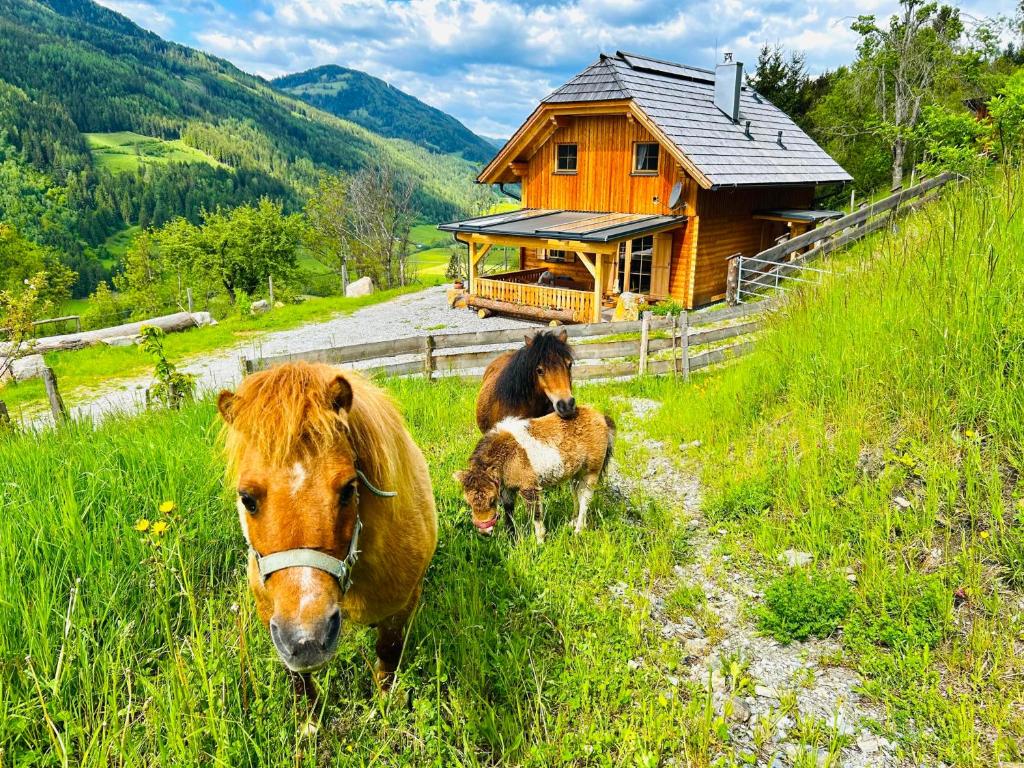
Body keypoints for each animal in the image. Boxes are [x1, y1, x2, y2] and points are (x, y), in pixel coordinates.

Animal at [217, 362, 437, 699]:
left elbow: (388, 648)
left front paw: (386, 698)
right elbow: (297, 677)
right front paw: (309, 711)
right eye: (247, 499)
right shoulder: (271, 617)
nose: (306, 640)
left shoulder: (400, 606)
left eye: (348, 489)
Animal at [454, 405, 615, 543]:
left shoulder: (529, 487)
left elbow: (535, 514)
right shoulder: (507, 489)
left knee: (585, 499)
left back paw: (578, 530)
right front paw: (512, 538)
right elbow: (508, 511)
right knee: (576, 494)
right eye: (468, 502)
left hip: (591, 473)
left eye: (492, 500)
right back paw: (572, 522)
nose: (485, 531)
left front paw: (540, 542)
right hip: (576, 474)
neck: (507, 454)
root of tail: (601, 417)